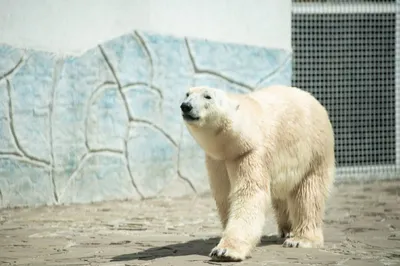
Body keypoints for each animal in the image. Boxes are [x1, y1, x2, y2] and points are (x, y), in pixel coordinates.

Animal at [180, 85, 334, 262]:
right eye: (187, 94)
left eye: (208, 96)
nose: (186, 106)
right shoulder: (218, 160)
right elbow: (224, 195)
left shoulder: (250, 152)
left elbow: (250, 193)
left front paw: (225, 251)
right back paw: (287, 230)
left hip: (314, 151)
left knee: (309, 194)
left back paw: (300, 239)